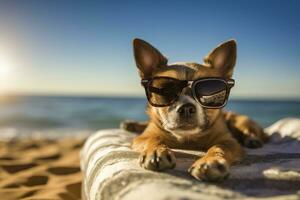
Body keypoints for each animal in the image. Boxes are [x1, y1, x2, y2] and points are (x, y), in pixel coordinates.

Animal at [122, 38, 268, 181]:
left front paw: (210, 161)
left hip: (240, 121)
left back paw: (252, 140)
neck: (188, 139)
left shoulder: (229, 141)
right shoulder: (144, 136)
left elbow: (219, 147)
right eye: (166, 90)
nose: (187, 107)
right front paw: (156, 152)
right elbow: (154, 139)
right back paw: (131, 124)